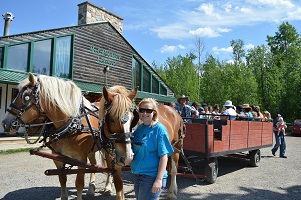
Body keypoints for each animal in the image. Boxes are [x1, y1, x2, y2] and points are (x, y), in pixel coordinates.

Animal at [1, 73, 138, 200]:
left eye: (25, 97)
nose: (5, 123)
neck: (71, 124)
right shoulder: (57, 157)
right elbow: (62, 178)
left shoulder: (81, 159)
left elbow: (79, 184)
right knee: (94, 164)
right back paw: (91, 188)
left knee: (108, 166)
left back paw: (108, 187)